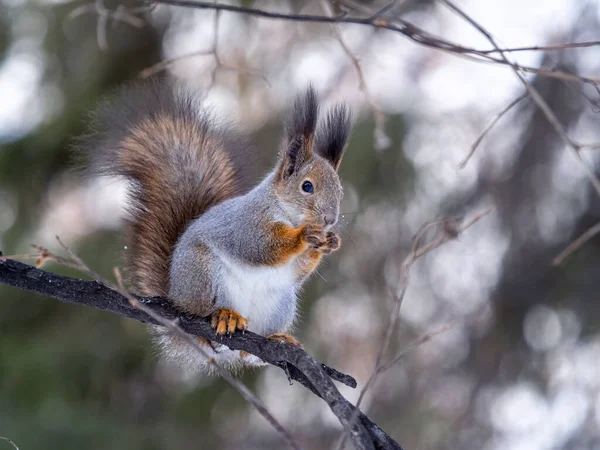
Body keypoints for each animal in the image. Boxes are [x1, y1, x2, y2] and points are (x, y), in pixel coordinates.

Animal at [78, 79, 354, 374]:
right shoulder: (247, 223)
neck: (287, 214)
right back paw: (224, 316)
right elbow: (261, 247)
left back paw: (274, 338)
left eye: (339, 191)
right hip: (203, 274)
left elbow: (298, 270)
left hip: (281, 303)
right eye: (307, 186)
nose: (330, 219)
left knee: (247, 353)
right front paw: (304, 235)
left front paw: (329, 243)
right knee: (203, 315)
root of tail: (176, 296)